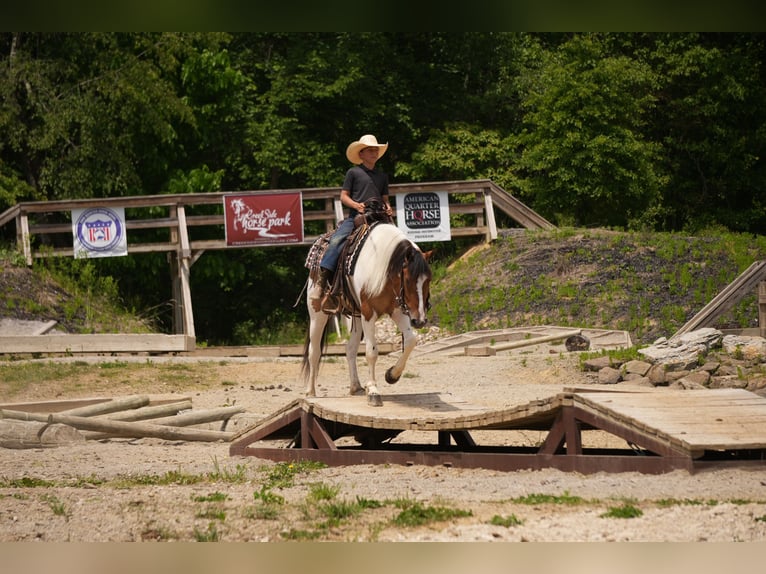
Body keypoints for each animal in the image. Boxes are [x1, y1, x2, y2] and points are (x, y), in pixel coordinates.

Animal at [301, 222, 433, 407]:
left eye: (428, 280)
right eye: (408, 280)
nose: (420, 321)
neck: (384, 267)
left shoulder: (397, 311)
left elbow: (411, 341)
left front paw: (392, 375)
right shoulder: (369, 312)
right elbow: (371, 352)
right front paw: (373, 391)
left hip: (357, 316)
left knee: (350, 349)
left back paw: (356, 386)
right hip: (317, 313)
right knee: (314, 351)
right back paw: (310, 391)